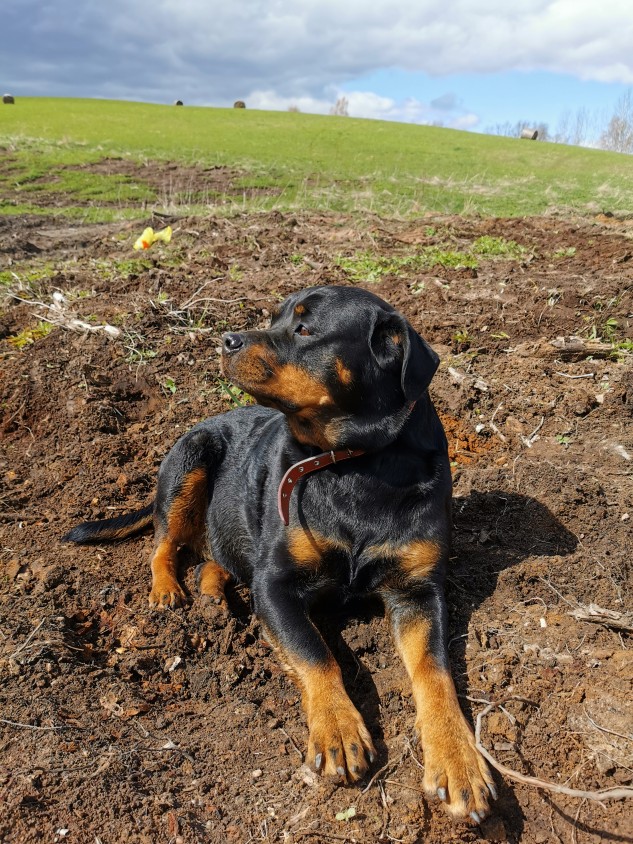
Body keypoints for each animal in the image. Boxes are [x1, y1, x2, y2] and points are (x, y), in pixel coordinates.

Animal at [64, 285, 495, 823]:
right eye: (273, 318)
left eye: (305, 329)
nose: (226, 338)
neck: (352, 462)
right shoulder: (275, 584)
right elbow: (315, 652)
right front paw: (338, 729)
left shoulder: (419, 590)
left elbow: (435, 672)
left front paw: (459, 761)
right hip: (189, 460)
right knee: (163, 543)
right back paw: (167, 591)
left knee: (214, 559)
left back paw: (214, 594)